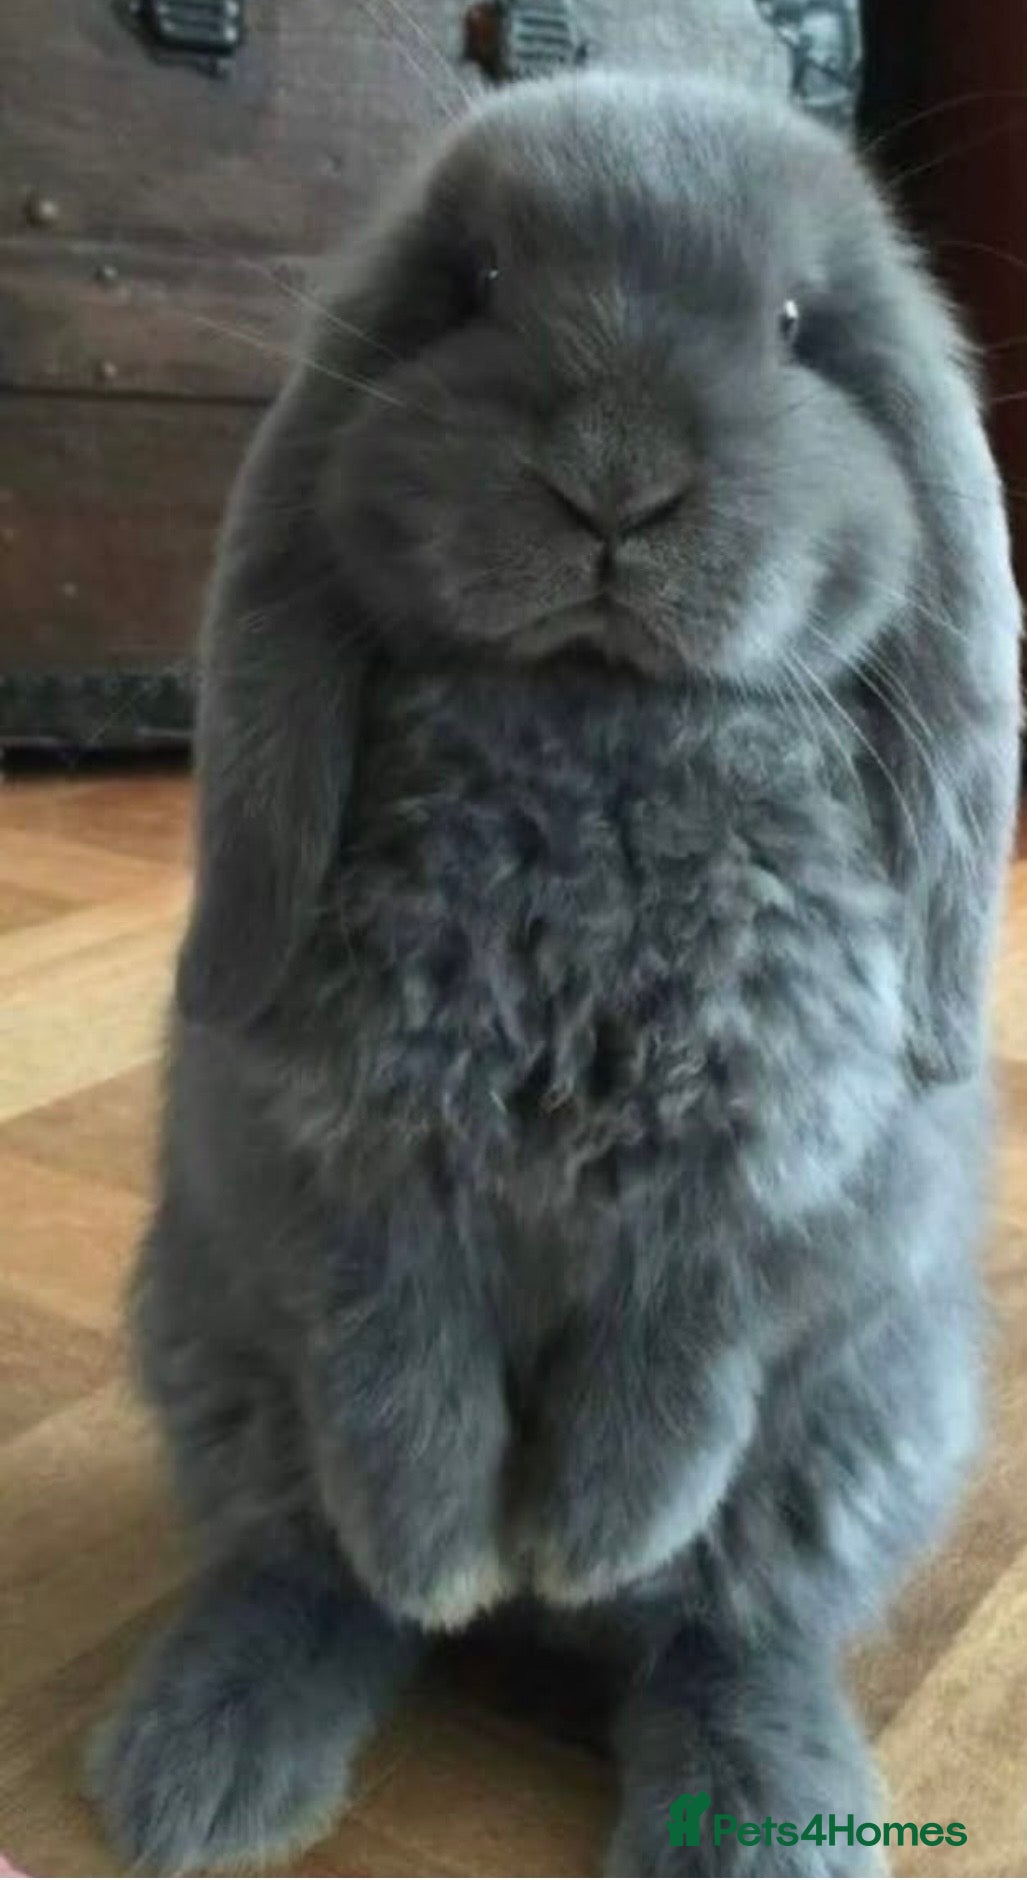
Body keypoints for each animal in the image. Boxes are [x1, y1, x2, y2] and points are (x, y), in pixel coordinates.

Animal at [87, 67, 1021, 1878]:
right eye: (476, 289)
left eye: (793, 326)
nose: (613, 481)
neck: (597, 720)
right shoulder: (349, 1175)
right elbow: (401, 1377)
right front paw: (452, 1552)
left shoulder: (757, 1191)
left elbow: (680, 1364)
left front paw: (584, 1538)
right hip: (217, 1361)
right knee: (313, 1579)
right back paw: (203, 1770)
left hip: (853, 1437)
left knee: (717, 1629)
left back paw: (744, 1804)